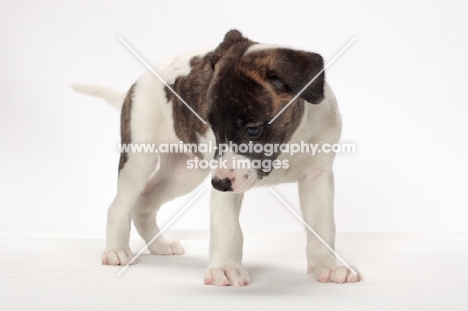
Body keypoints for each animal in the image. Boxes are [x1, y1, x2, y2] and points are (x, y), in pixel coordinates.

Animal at [72, 29, 362, 288]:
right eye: (212, 125)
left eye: (252, 129)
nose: (219, 184)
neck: (290, 140)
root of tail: (134, 86)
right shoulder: (225, 182)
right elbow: (228, 228)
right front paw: (226, 268)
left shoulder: (318, 178)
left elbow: (323, 226)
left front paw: (328, 267)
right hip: (138, 158)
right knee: (120, 205)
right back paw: (115, 250)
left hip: (183, 174)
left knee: (144, 201)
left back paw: (160, 245)